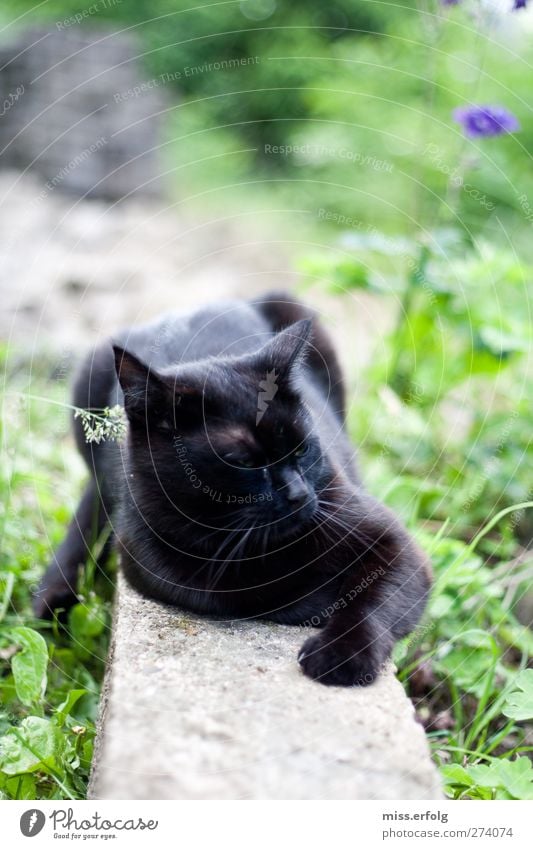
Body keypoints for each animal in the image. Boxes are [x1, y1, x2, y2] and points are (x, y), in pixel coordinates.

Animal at [35, 294, 430, 684]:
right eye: (243, 462)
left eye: (302, 449)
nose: (299, 494)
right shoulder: (149, 559)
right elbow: (242, 595)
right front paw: (316, 602)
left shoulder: (389, 539)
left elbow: (374, 601)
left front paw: (341, 653)